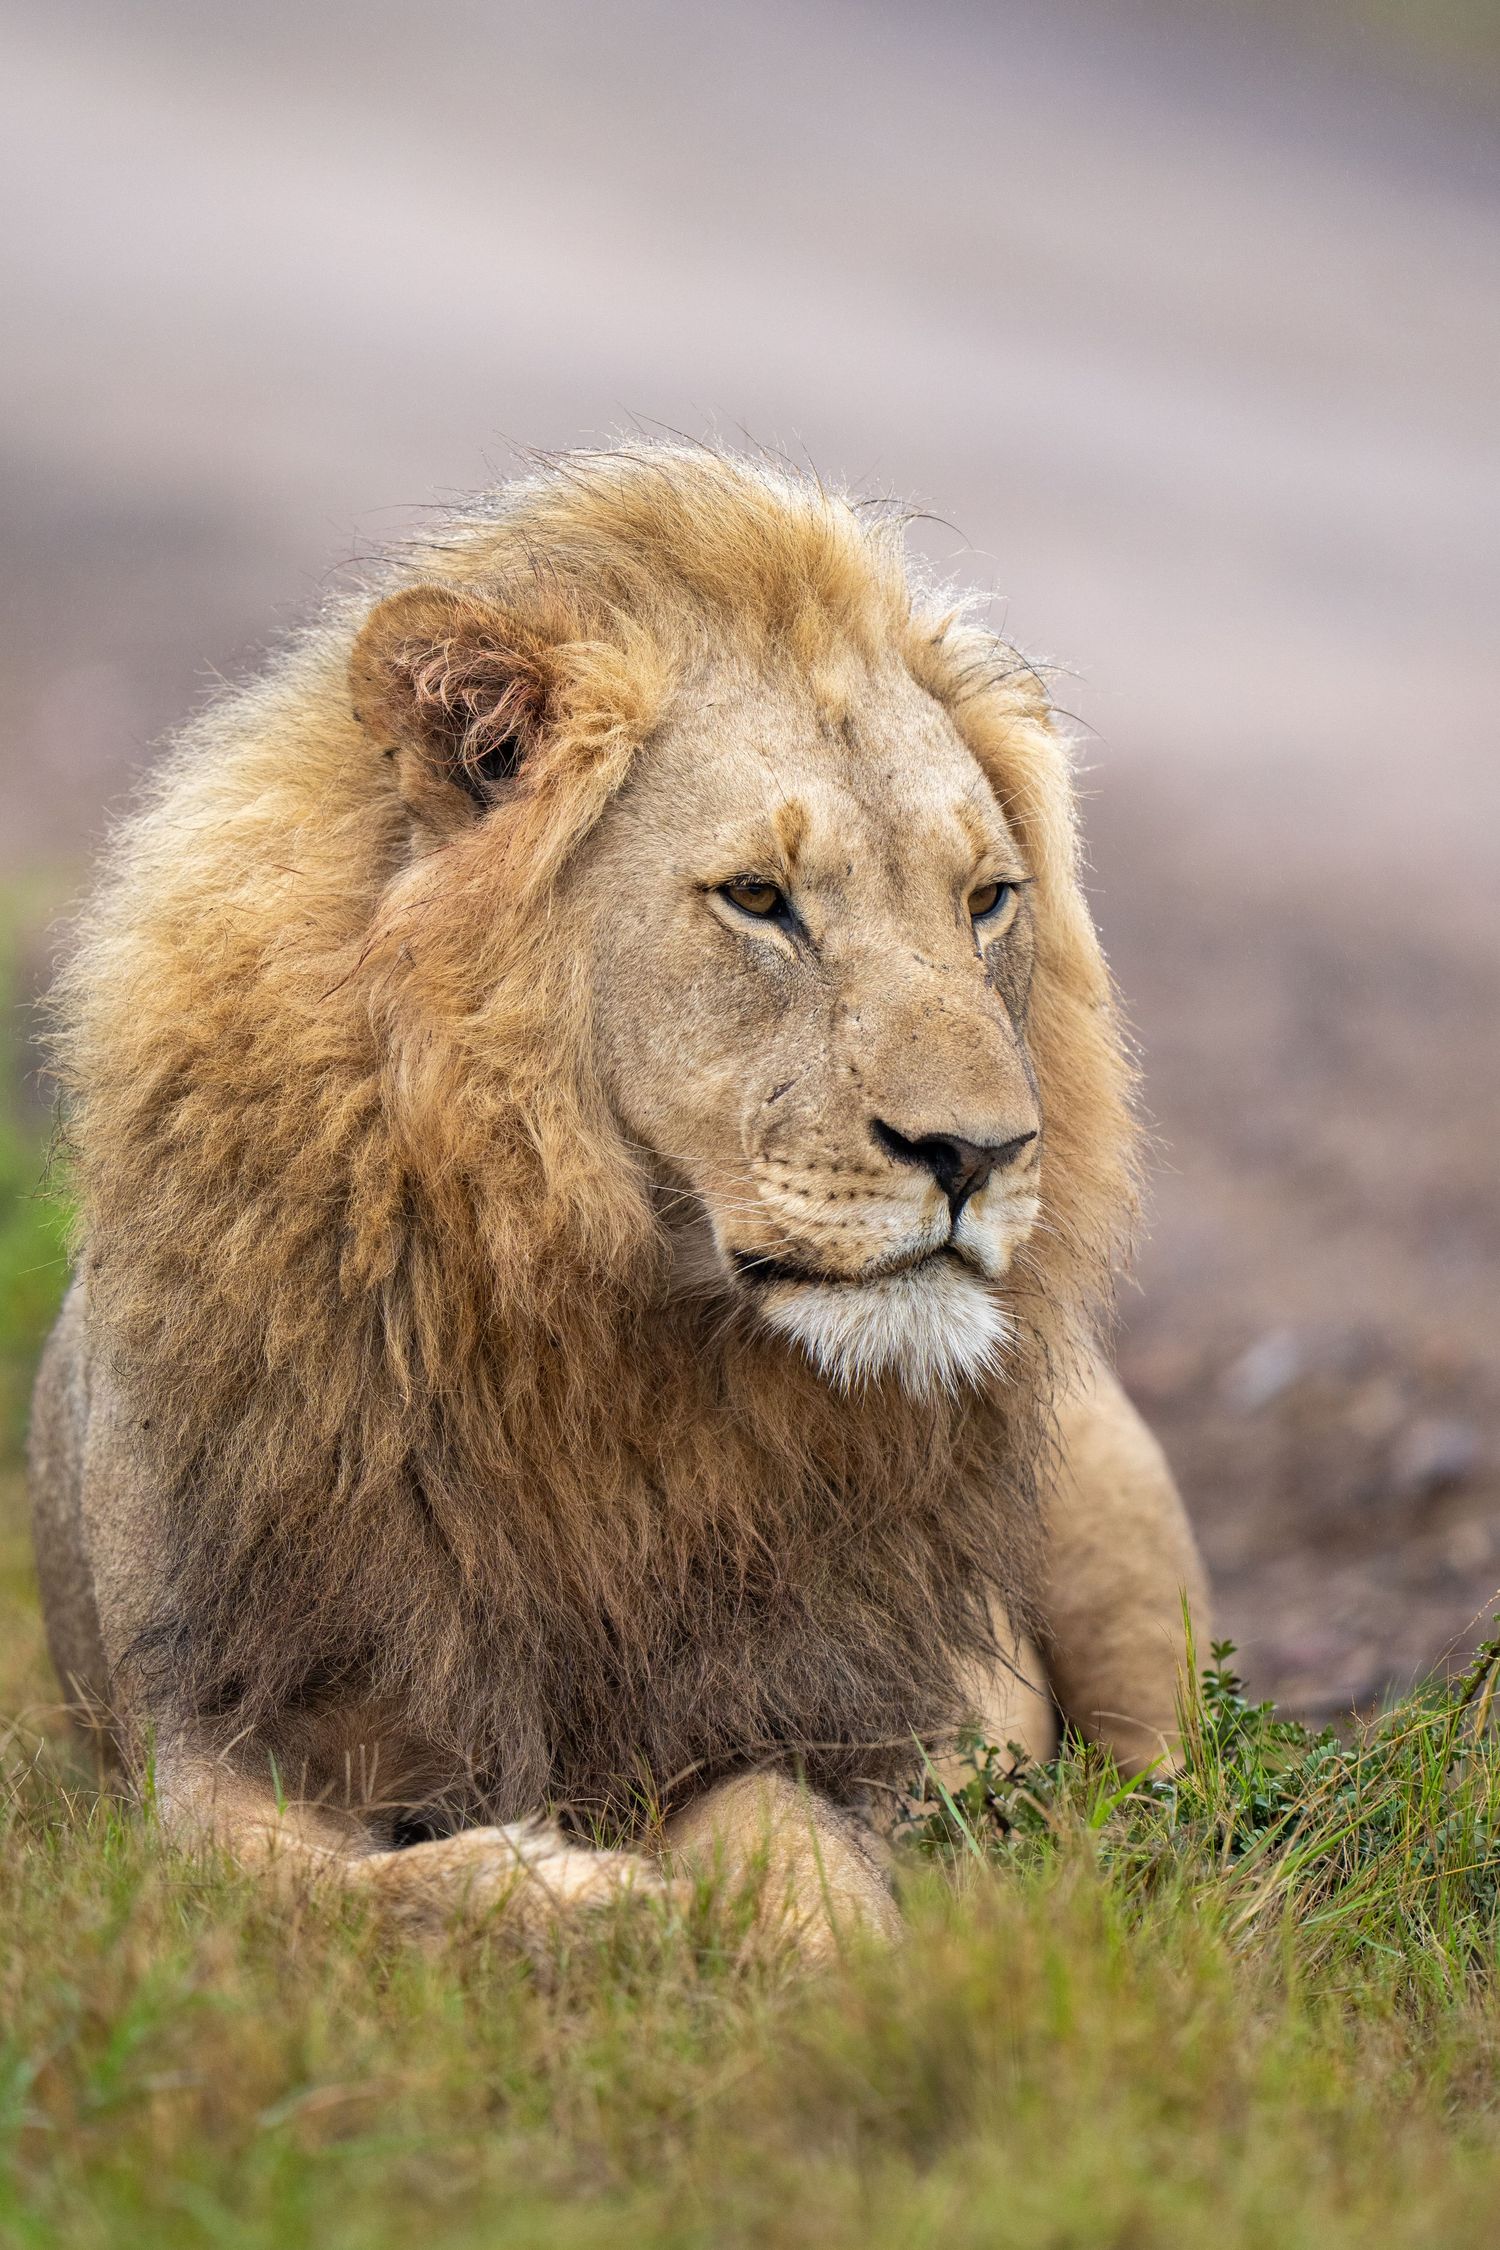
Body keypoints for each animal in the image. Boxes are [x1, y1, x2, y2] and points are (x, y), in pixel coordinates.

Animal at [28, 444, 1206, 1954]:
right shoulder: (201, 1729)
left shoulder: (785, 1714)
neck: (595, 1325)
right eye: (759, 898)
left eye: (988, 899)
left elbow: (791, 1847)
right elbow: (297, 1888)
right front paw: (583, 1901)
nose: (982, 1151)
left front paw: (824, 1955)